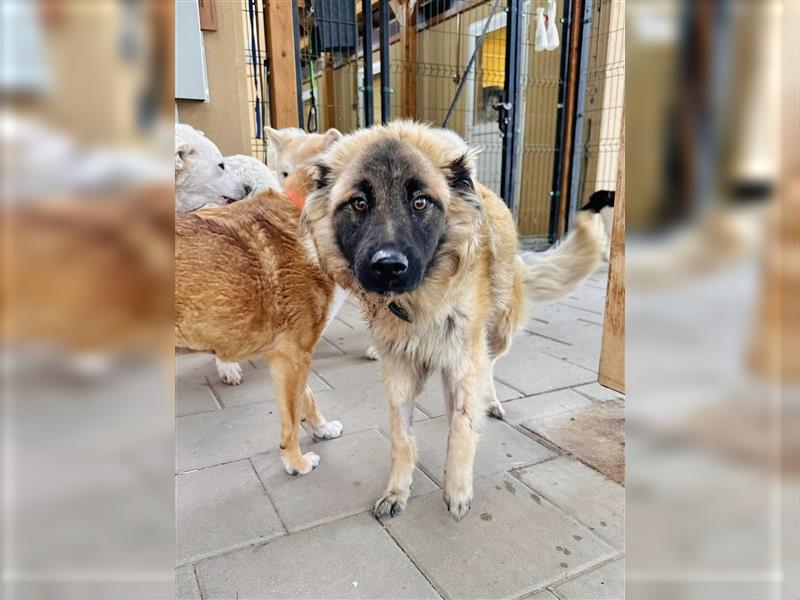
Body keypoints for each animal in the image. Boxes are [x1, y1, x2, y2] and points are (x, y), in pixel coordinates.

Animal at [177, 180, 342, 476]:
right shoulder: (294, 354)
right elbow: (291, 419)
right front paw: (296, 463)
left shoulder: (289, 355)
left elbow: (306, 398)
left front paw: (322, 429)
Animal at [304, 120, 604, 516]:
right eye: (359, 202)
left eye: (420, 202)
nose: (388, 267)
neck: (418, 303)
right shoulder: (398, 367)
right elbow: (401, 435)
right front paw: (397, 489)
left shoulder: (464, 354)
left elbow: (463, 425)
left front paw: (458, 486)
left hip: (496, 333)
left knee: (489, 367)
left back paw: (489, 402)